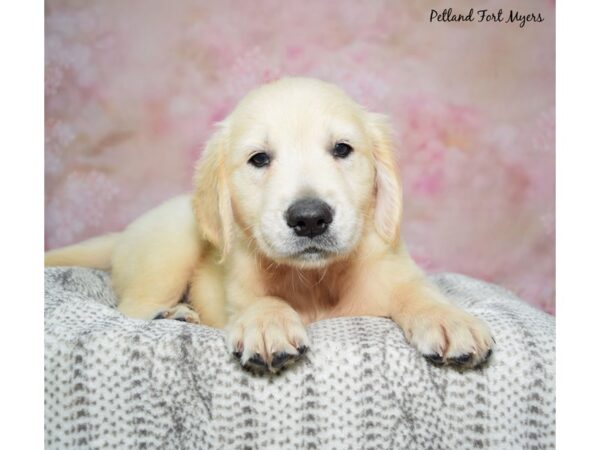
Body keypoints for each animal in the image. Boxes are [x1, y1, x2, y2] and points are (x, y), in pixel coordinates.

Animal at [45, 76, 492, 372]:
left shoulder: (395, 271)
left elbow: (420, 292)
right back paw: (171, 315)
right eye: (259, 158)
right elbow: (257, 298)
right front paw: (267, 322)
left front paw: (448, 319)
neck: (314, 281)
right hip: (169, 250)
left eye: (342, 149)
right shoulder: (238, 282)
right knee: (131, 308)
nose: (309, 218)